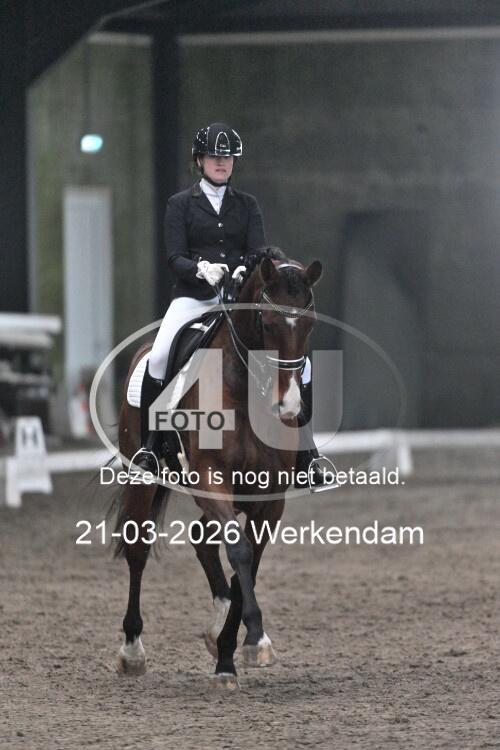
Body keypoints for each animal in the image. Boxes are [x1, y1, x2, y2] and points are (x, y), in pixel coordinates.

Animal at [114, 247, 322, 689]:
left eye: (310, 323)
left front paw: (232, 650)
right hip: (144, 480)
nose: (289, 408)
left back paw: (217, 627)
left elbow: (249, 566)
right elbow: (240, 553)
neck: (245, 391)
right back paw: (132, 650)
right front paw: (252, 639)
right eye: (268, 322)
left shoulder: (268, 500)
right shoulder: (212, 480)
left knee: (202, 538)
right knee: (138, 549)